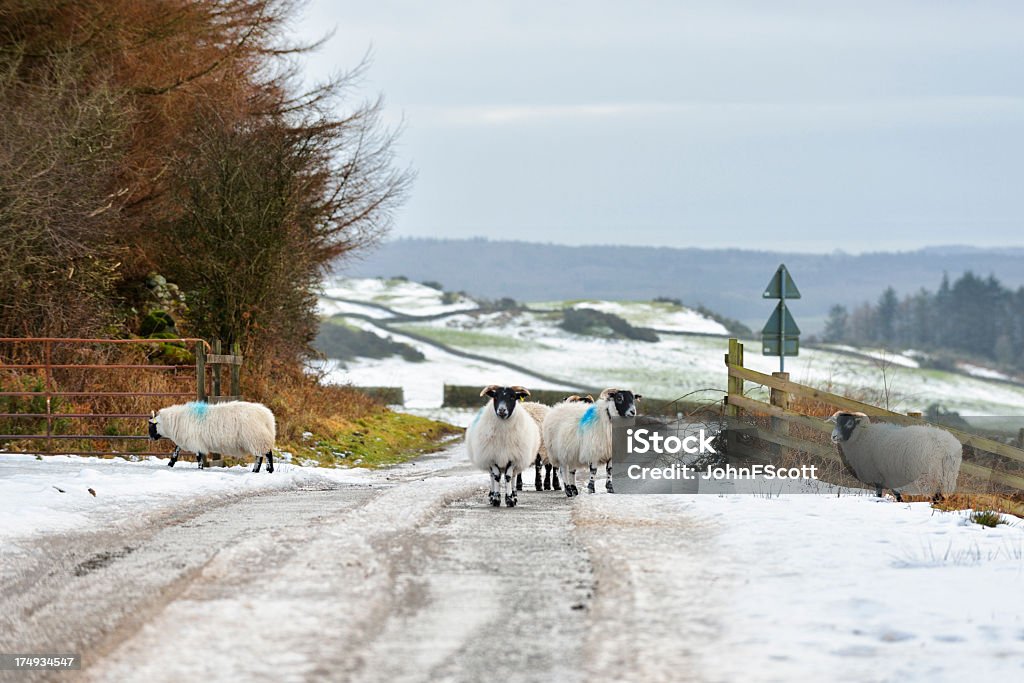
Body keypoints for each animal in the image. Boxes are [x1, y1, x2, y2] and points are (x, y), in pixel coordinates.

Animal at [148, 397, 276, 473]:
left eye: (151, 426)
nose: (151, 438)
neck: (175, 421)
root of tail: (268, 418)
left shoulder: (195, 441)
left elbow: (199, 457)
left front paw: (200, 469)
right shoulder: (186, 440)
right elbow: (175, 452)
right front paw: (170, 464)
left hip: (256, 438)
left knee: (263, 455)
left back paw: (261, 470)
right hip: (259, 438)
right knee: (265, 454)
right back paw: (267, 470)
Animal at [827, 411, 962, 501]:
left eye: (849, 423)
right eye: (836, 422)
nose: (833, 436)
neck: (862, 436)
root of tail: (946, 448)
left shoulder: (877, 475)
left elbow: (879, 493)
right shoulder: (890, 477)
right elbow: (897, 496)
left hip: (929, 477)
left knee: (936, 498)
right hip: (946, 478)